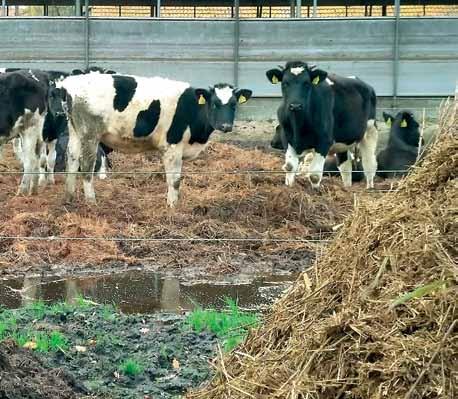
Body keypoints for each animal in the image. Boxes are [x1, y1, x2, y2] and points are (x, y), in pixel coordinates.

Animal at [266, 61, 378, 191]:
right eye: (285, 83)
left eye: (307, 83)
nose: (295, 106)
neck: (298, 125)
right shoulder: (287, 139)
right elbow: (289, 167)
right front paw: (289, 187)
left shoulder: (324, 141)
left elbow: (314, 174)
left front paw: (315, 192)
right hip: (342, 142)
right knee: (345, 167)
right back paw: (347, 188)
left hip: (370, 130)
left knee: (369, 163)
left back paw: (370, 187)